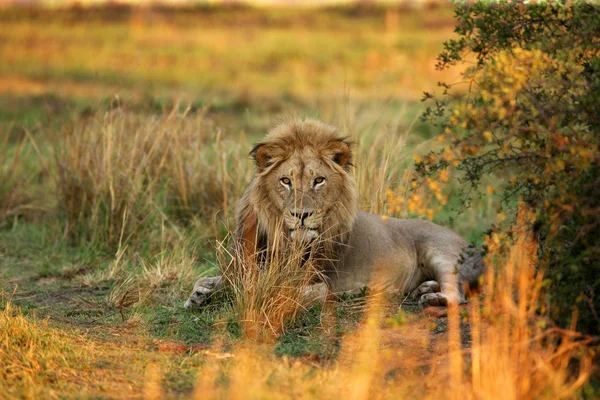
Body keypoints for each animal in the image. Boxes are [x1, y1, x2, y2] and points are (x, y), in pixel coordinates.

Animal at [185, 120, 486, 310]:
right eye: (286, 181)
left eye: (318, 180)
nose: (301, 214)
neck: (281, 235)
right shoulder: (243, 266)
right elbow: (215, 280)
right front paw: (200, 295)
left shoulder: (322, 284)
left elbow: (284, 292)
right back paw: (423, 289)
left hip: (440, 251)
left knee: (458, 294)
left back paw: (431, 298)